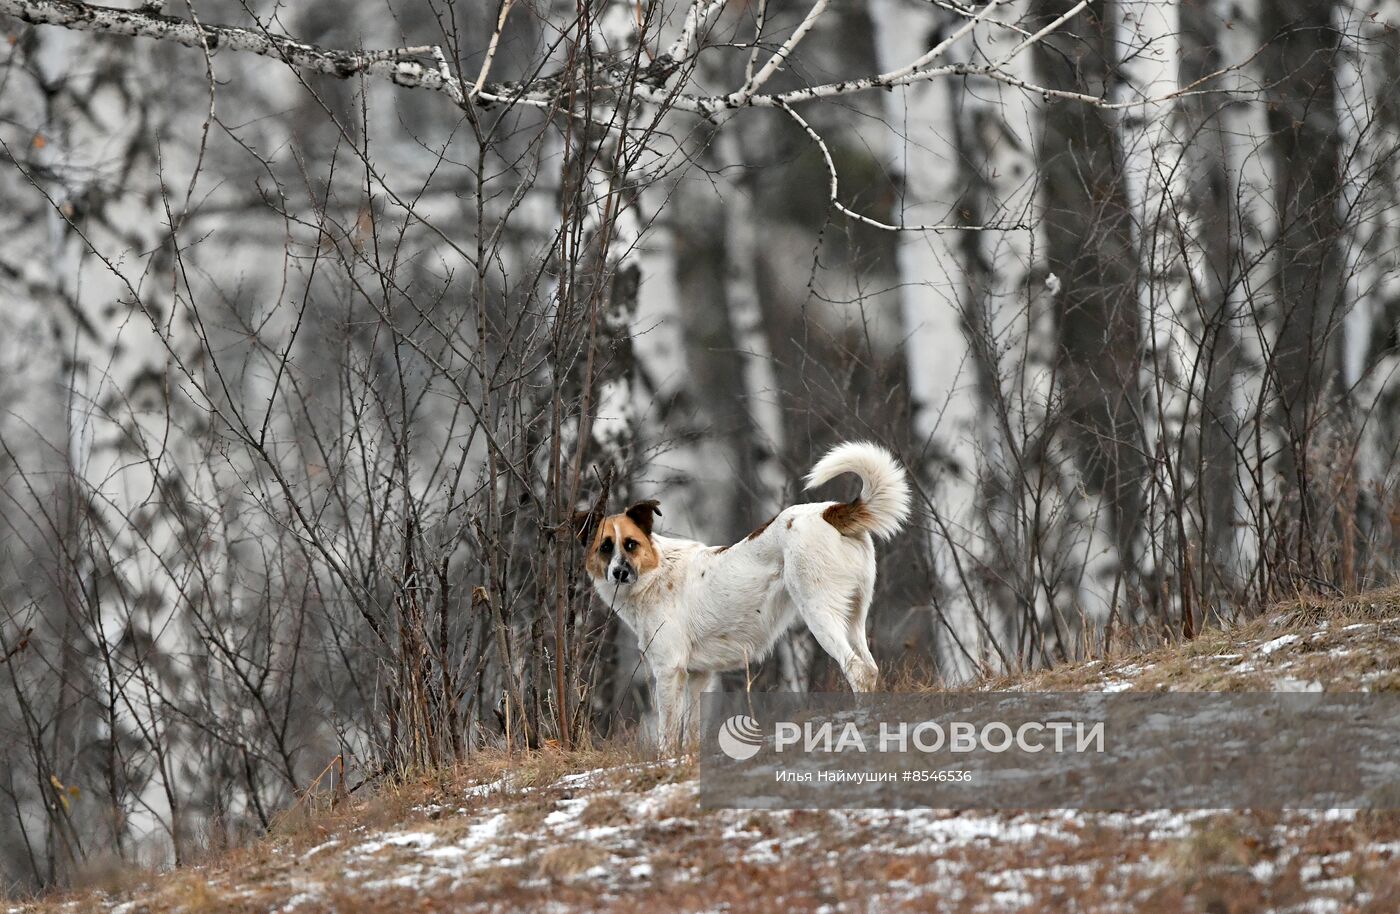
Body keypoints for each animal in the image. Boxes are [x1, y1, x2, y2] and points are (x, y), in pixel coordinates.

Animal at [568, 442, 907, 750]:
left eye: (631, 544)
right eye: (605, 547)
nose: (619, 573)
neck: (656, 573)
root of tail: (829, 512)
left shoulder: (668, 669)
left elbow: (668, 732)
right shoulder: (697, 675)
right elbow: (691, 731)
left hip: (819, 613)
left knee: (858, 671)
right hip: (853, 618)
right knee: (871, 668)